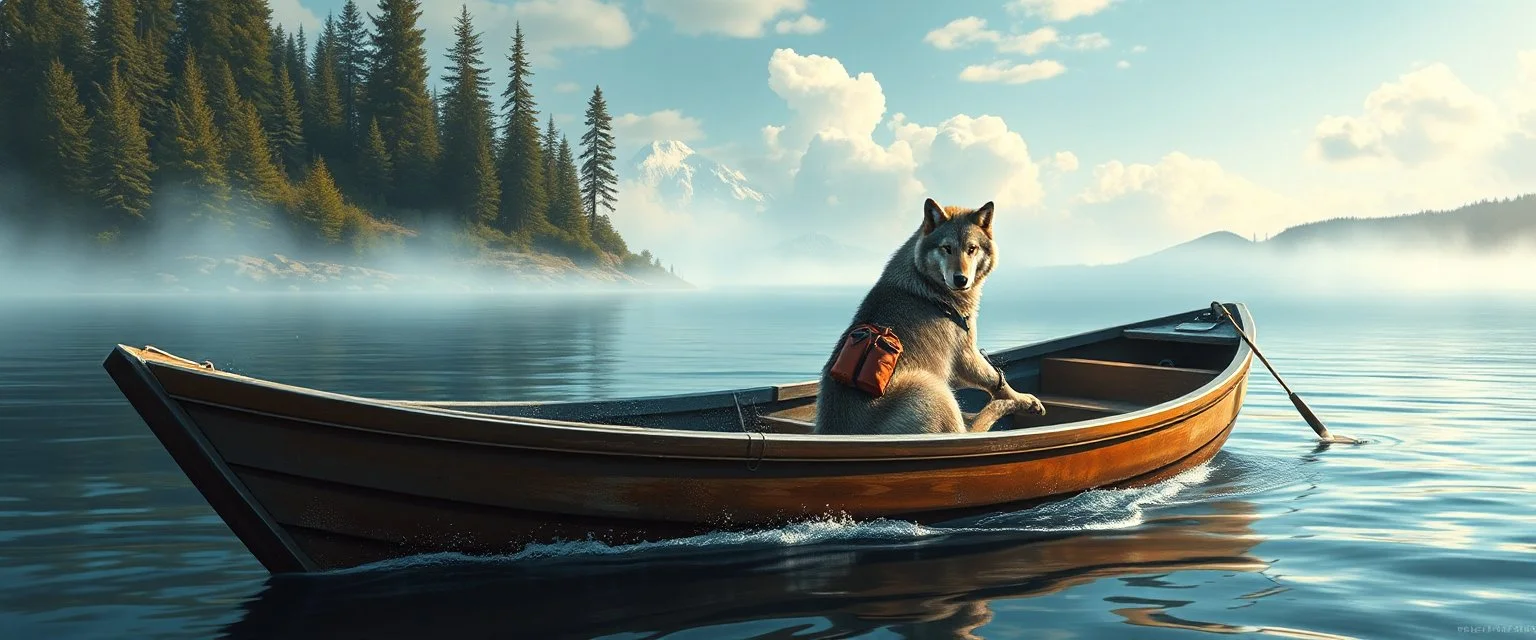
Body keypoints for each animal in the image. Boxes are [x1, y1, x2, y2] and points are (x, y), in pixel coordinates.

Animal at [812, 197, 1046, 435]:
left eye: (971, 249)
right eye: (947, 248)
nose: (960, 279)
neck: (926, 280)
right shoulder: (965, 354)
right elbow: (996, 380)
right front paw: (1025, 400)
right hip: (933, 386)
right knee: (968, 429)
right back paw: (1001, 406)